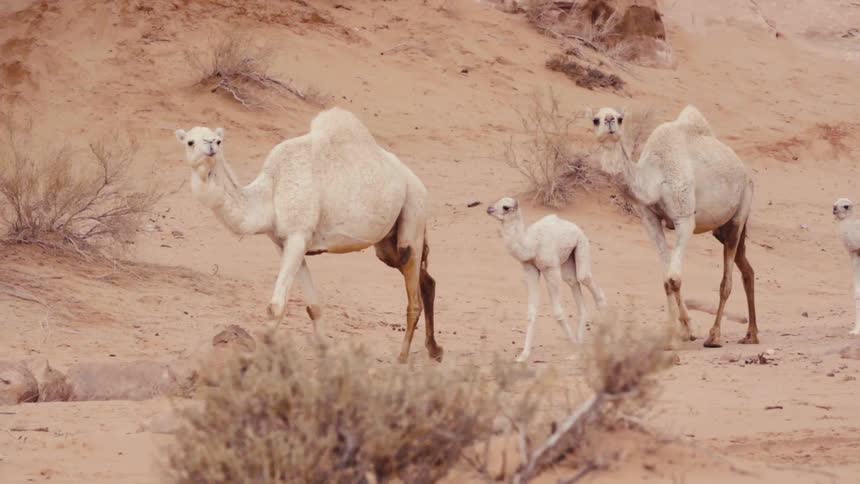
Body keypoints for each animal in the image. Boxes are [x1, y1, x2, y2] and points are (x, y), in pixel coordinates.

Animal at [175, 108, 442, 363]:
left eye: (219, 141)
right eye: (190, 142)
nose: (210, 145)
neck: (272, 192)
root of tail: (416, 181)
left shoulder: (298, 236)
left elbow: (275, 306)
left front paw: (257, 359)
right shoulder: (285, 242)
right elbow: (314, 307)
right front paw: (325, 353)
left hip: (414, 214)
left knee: (413, 297)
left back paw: (402, 358)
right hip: (387, 245)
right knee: (426, 279)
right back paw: (434, 350)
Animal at [487, 197, 607, 362]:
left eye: (506, 207)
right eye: (497, 201)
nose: (489, 209)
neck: (531, 246)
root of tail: (574, 226)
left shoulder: (551, 269)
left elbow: (558, 312)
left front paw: (574, 347)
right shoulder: (530, 269)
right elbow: (531, 311)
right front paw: (523, 355)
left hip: (582, 244)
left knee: (586, 280)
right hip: (568, 261)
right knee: (574, 284)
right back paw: (579, 345)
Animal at [590, 105, 758, 347]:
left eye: (620, 119)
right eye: (595, 120)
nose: (610, 121)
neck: (654, 178)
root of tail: (744, 171)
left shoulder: (684, 218)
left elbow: (674, 278)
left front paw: (684, 332)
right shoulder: (650, 220)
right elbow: (666, 280)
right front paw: (675, 334)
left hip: (740, 210)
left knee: (726, 281)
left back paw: (714, 335)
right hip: (721, 229)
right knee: (747, 269)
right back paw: (751, 334)